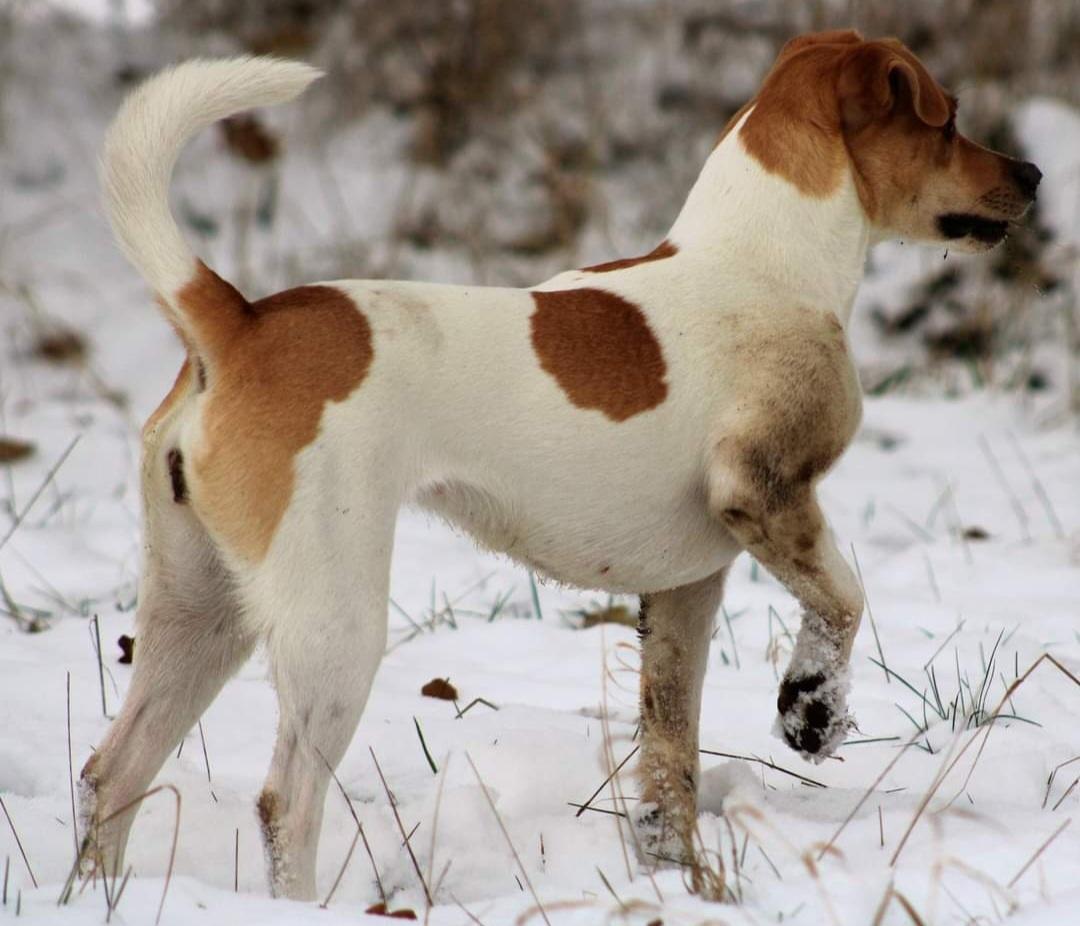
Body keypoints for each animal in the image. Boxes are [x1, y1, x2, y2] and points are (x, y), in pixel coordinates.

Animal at [79, 28, 1041, 894]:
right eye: (949, 119)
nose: (1033, 175)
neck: (760, 259)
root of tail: (237, 323)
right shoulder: (763, 494)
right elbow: (842, 601)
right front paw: (812, 708)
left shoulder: (684, 590)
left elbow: (670, 756)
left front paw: (678, 877)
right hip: (332, 624)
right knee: (287, 805)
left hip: (198, 613)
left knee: (112, 772)